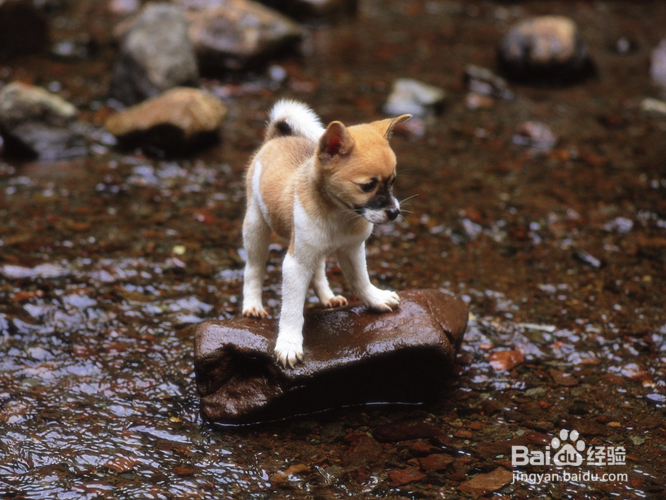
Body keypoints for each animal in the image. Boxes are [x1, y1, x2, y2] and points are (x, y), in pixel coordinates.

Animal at [241, 100, 408, 368]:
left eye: (392, 182)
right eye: (367, 186)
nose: (394, 212)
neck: (339, 215)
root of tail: (276, 137)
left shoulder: (352, 250)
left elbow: (360, 280)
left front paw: (375, 299)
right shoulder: (295, 263)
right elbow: (292, 309)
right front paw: (289, 343)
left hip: (311, 247)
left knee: (318, 269)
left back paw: (328, 298)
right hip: (256, 227)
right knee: (254, 269)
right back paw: (253, 305)